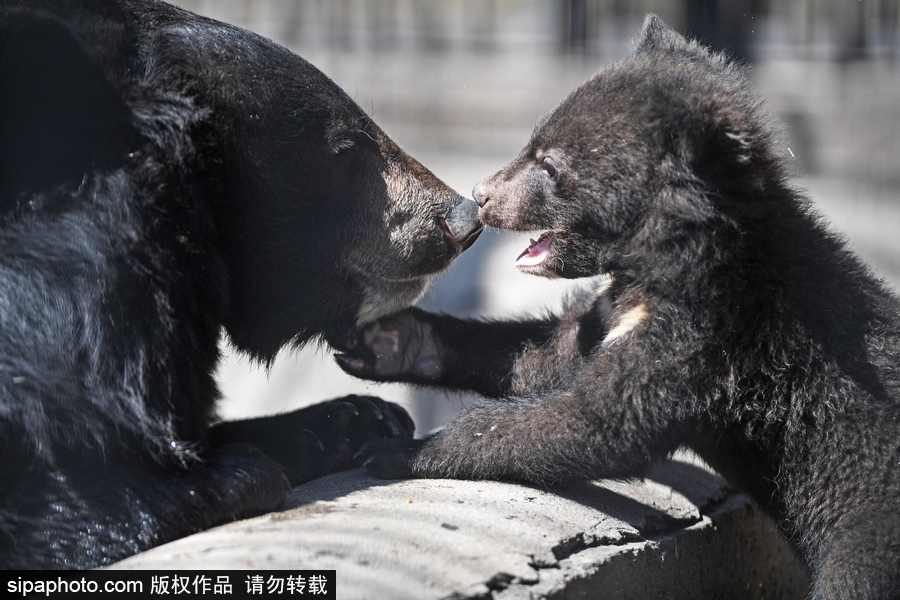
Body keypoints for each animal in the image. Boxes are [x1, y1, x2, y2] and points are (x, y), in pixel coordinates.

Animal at [342, 14, 900, 600]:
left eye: (550, 164)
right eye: (532, 142)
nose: (481, 194)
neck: (666, 260)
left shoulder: (709, 329)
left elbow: (600, 421)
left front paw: (394, 452)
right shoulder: (624, 307)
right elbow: (555, 354)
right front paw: (388, 339)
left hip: (867, 528)